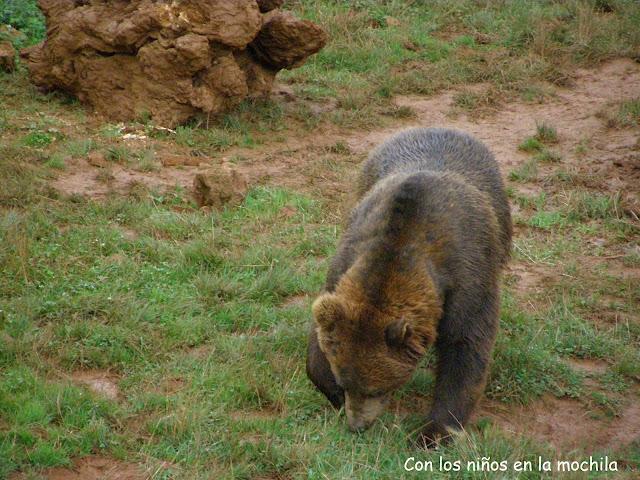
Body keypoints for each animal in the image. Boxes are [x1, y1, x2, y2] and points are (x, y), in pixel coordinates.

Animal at [308, 126, 512, 446]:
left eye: (377, 388)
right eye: (345, 381)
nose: (357, 425)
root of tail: (438, 127)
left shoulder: (468, 276)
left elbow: (466, 347)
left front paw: (433, 431)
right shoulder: (346, 260)